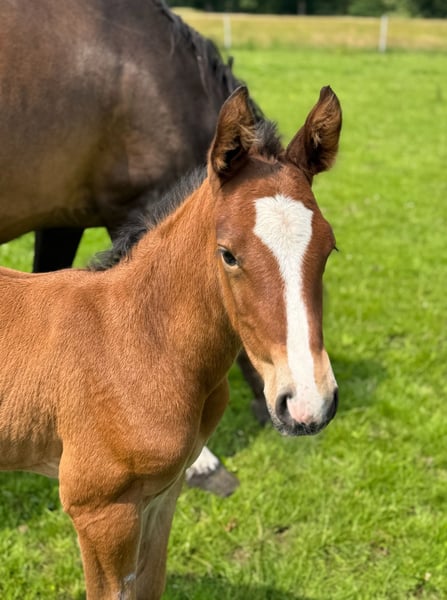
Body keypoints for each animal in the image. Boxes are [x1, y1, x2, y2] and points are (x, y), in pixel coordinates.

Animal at [0, 85, 341, 599]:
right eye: (228, 254)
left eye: (329, 248)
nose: (307, 403)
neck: (138, 344)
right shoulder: (100, 511)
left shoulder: (163, 494)